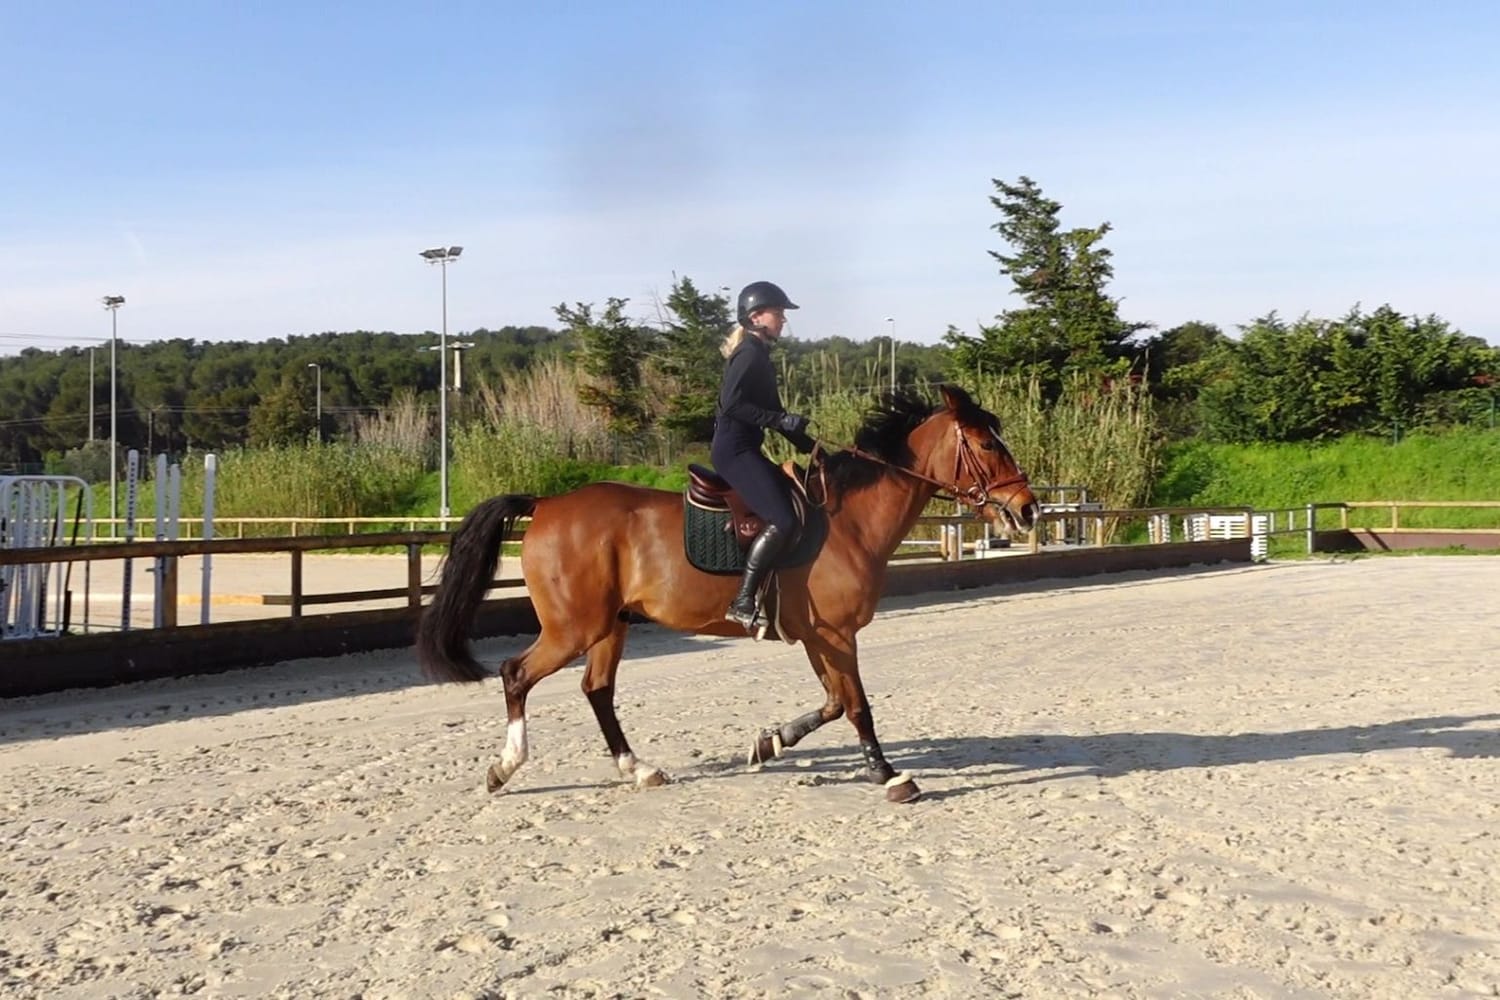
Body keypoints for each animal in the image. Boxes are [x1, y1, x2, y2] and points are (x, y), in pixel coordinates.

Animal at [416, 384, 1039, 803]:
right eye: (986, 445)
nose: (1028, 509)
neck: (849, 519)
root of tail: (546, 503)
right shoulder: (836, 635)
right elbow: (858, 706)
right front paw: (891, 777)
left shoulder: (818, 636)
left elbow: (834, 703)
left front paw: (769, 743)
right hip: (575, 626)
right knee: (517, 674)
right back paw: (504, 767)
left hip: (610, 625)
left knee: (597, 690)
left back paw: (638, 769)